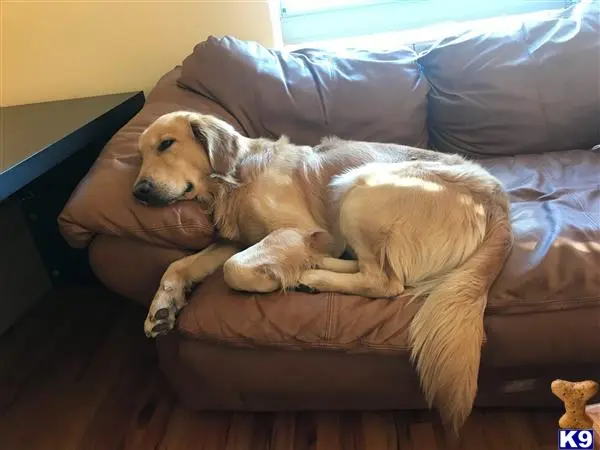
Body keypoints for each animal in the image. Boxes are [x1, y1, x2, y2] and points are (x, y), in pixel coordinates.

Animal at [135, 110, 510, 434]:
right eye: (139, 154)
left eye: (166, 144)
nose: (138, 191)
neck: (236, 178)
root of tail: (498, 199)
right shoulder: (234, 240)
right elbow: (179, 264)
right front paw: (161, 308)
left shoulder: (297, 229)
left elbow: (235, 268)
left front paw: (273, 276)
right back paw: (312, 267)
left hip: (358, 187)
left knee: (385, 282)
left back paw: (310, 275)